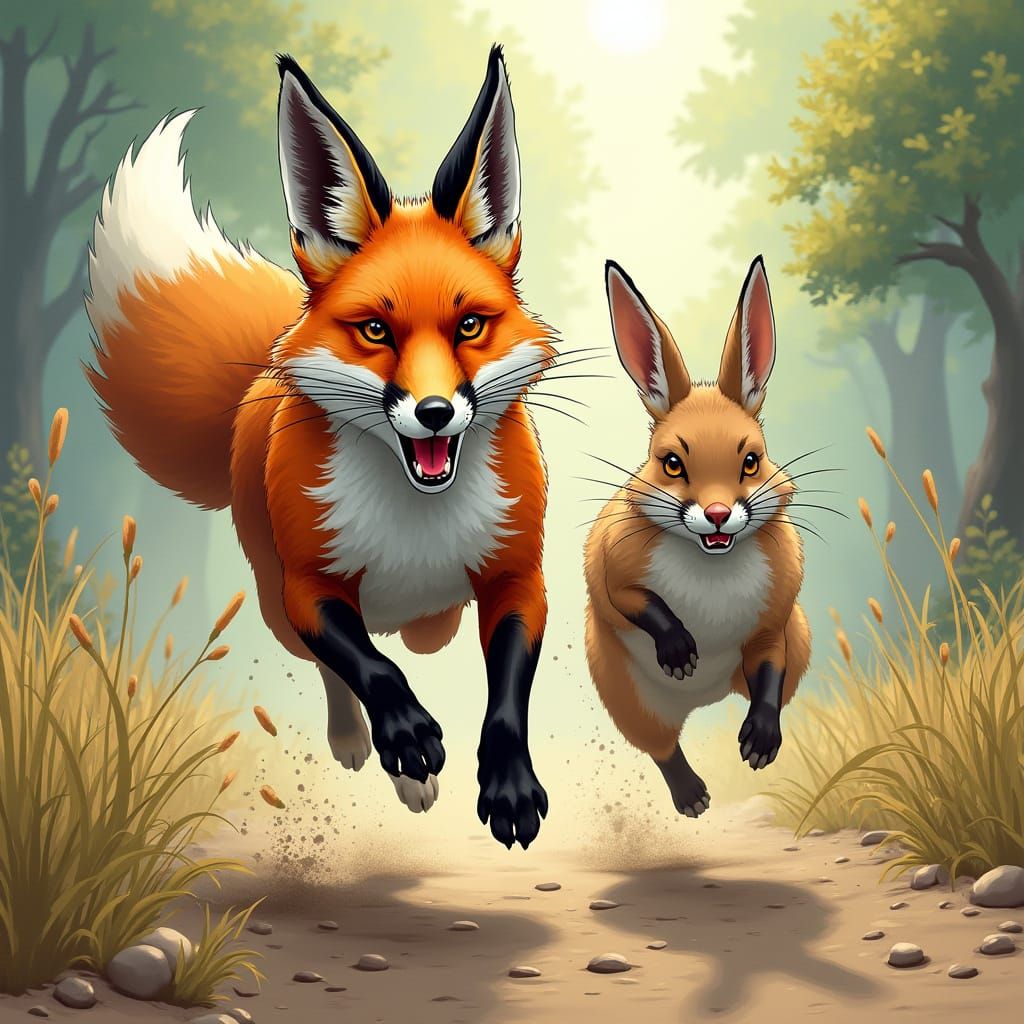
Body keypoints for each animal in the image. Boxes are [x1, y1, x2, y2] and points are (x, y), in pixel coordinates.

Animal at [85, 46, 553, 849]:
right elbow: (369, 668)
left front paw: (511, 786)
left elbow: (507, 696)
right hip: (275, 598)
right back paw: (370, 747)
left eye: (468, 326)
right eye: (375, 331)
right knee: (341, 672)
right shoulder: (307, 585)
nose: (434, 413)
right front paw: (408, 738)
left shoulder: (520, 577)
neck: (416, 530)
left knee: (425, 637)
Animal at [583, 255, 810, 817]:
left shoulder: (773, 627)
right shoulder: (610, 574)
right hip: (631, 703)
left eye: (750, 460)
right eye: (671, 463)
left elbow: (770, 674)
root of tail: (708, 698)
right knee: (663, 748)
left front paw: (760, 742)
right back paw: (692, 797)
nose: (717, 514)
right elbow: (641, 603)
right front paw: (679, 650)